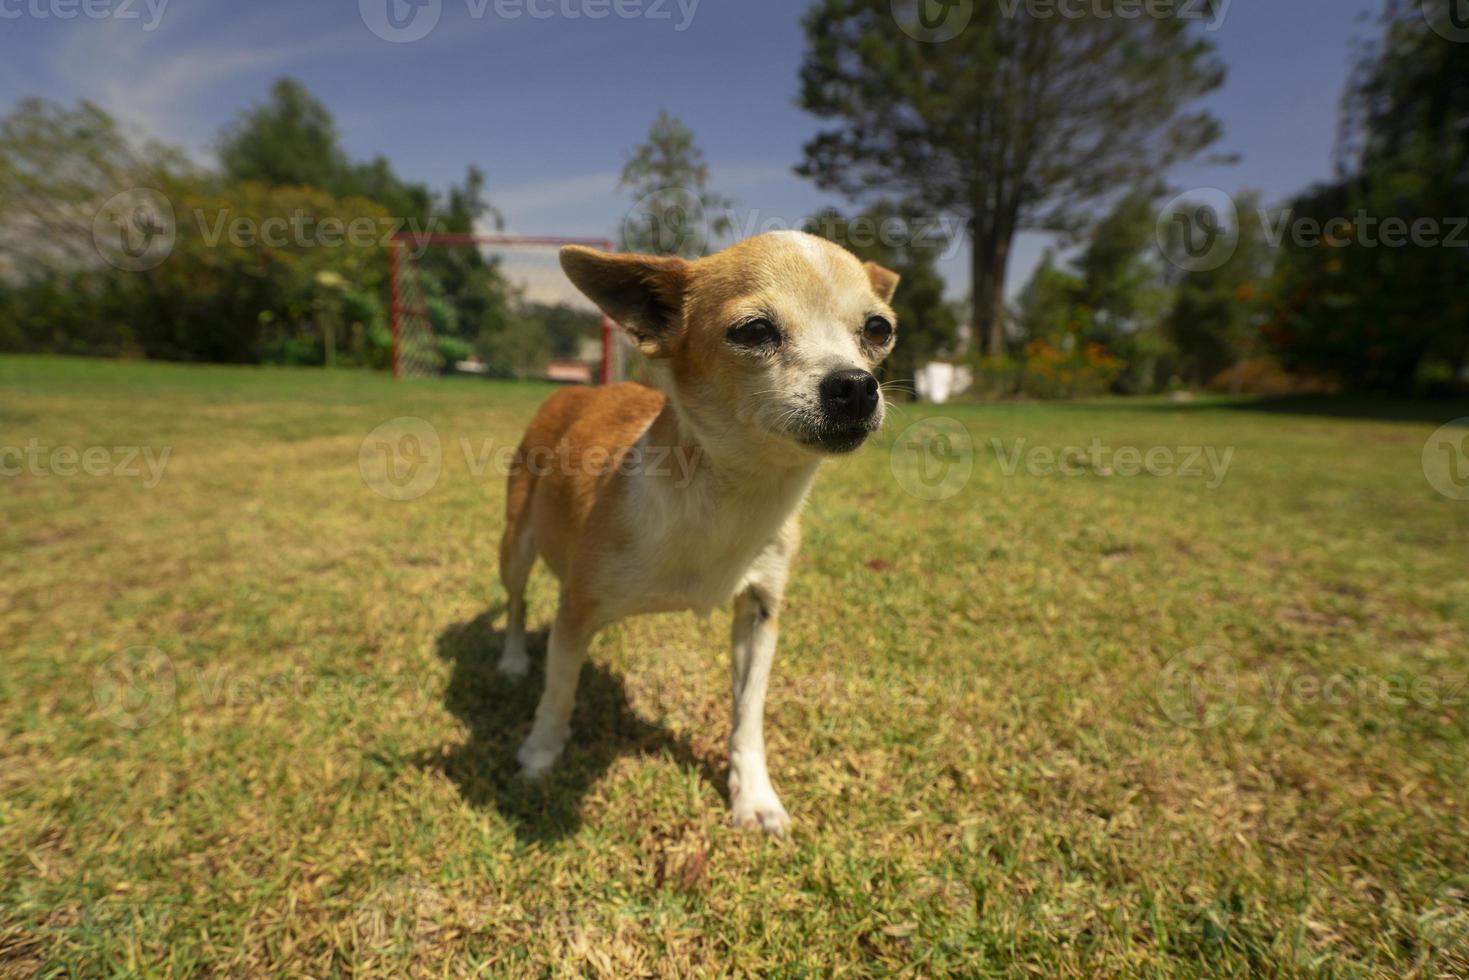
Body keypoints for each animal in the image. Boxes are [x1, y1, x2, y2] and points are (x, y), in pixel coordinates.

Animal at [499, 232, 899, 834]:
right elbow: (559, 691)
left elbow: (748, 713)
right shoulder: (576, 608)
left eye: (878, 329)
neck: (734, 491)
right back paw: (513, 660)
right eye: (753, 331)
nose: (856, 386)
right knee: (517, 601)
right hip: (516, 545)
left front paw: (753, 795)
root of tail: (571, 392)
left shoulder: (759, 613)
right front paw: (541, 753)